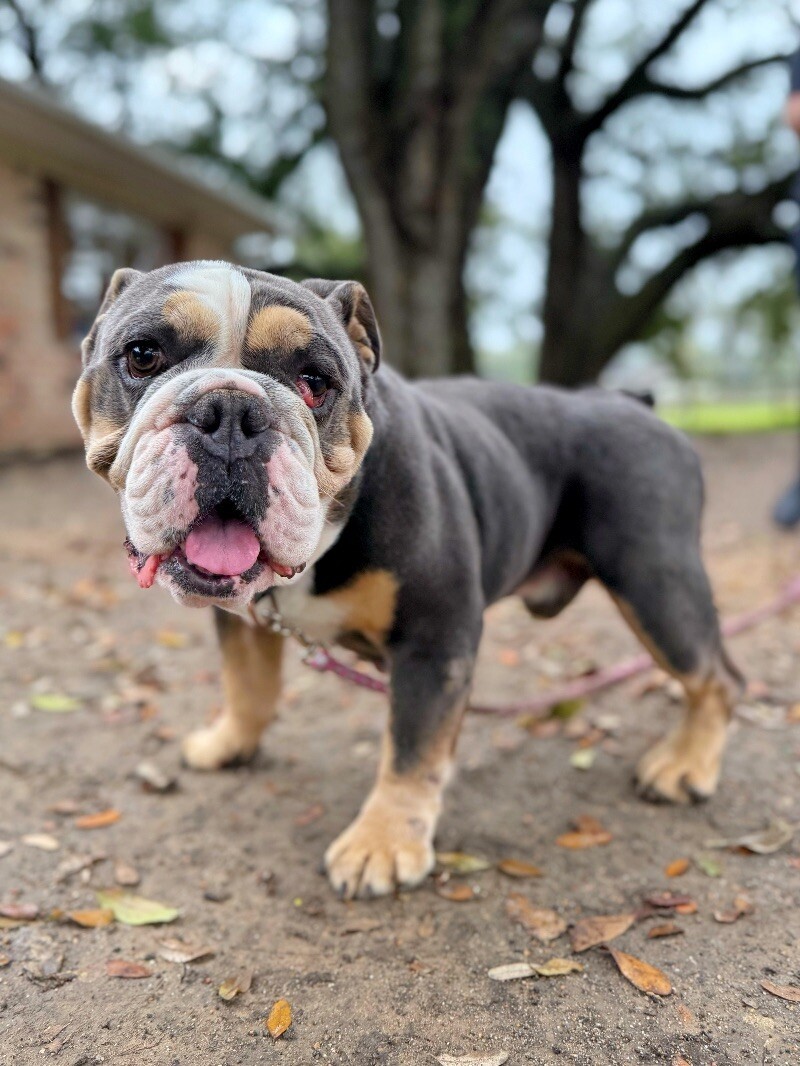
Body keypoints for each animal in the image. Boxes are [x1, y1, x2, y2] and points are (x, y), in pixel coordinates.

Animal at [72, 260, 742, 899]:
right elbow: (249, 686)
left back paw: (686, 765)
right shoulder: (243, 617)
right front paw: (229, 742)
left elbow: (413, 748)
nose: (232, 412)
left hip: (656, 583)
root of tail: (635, 402)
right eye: (143, 356)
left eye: (316, 382)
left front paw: (384, 843)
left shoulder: (432, 640)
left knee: (714, 677)